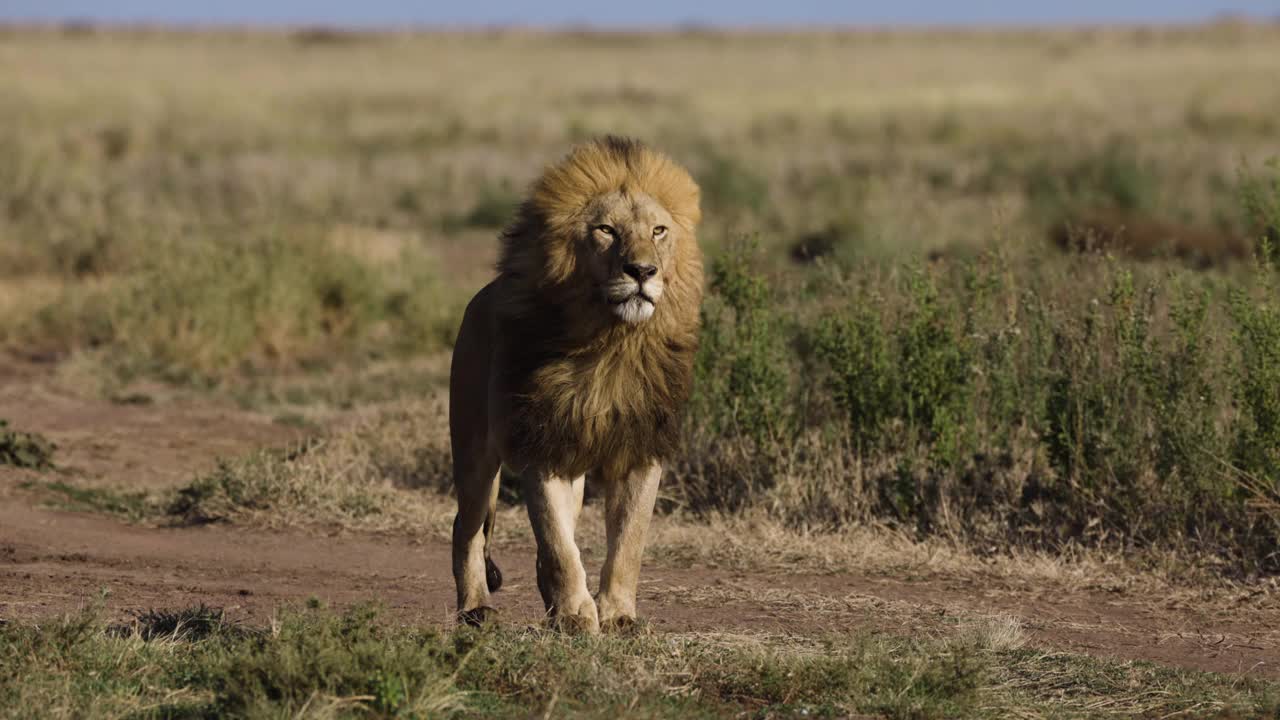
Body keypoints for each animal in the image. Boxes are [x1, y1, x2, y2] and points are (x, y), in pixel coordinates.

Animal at [450, 134, 706, 627]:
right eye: (606, 230)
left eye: (658, 231)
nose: (642, 271)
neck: (610, 343)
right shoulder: (542, 444)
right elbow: (557, 543)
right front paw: (574, 616)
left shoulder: (640, 449)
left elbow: (629, 543)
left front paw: (618, 616)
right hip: (473, 452)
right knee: (466, 528)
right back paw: (476, 608)